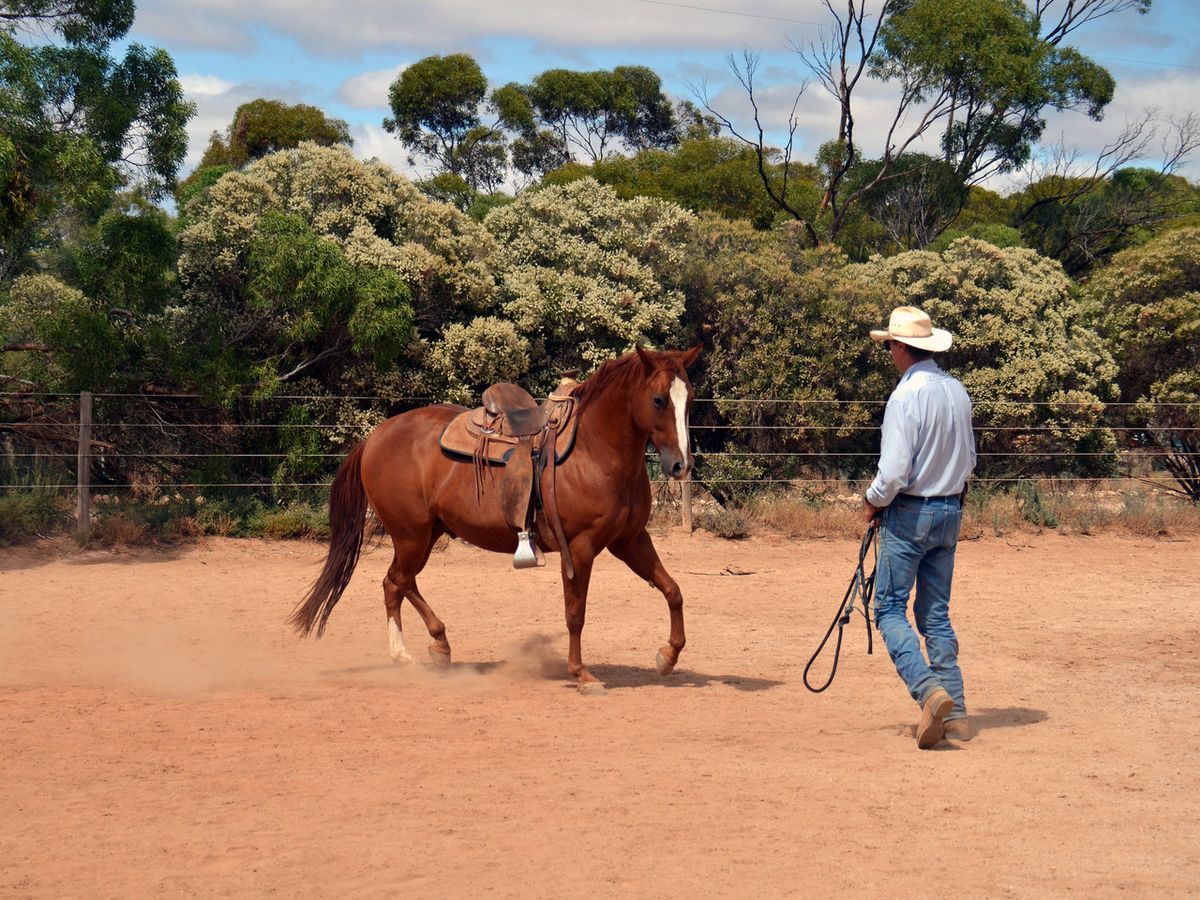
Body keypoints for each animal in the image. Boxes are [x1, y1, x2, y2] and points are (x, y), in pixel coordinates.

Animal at [289, 348, 700, 696]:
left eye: (691, 399)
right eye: (658, 400)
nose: (681, 464)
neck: (593, 449)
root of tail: (373, 438)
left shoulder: (630, 540)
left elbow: (673, 590)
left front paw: (668, 656)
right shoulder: (580, 549)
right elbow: (575, 614)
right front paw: (582, 674)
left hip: (427, 534)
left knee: (400, 583)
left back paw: (435, 646)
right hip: (411, 535)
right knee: (395, 583)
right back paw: (410, 655)